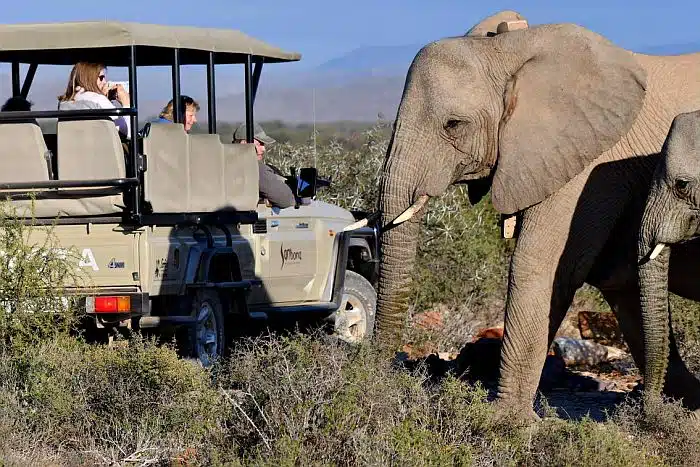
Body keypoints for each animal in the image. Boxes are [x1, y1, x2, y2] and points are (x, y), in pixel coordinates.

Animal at [374, 10, 700, 420]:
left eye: (454, 125)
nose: (379, 377)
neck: (510, 49)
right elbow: (617, 277)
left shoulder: (591, 160)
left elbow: (542, 263)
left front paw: (505, 422)